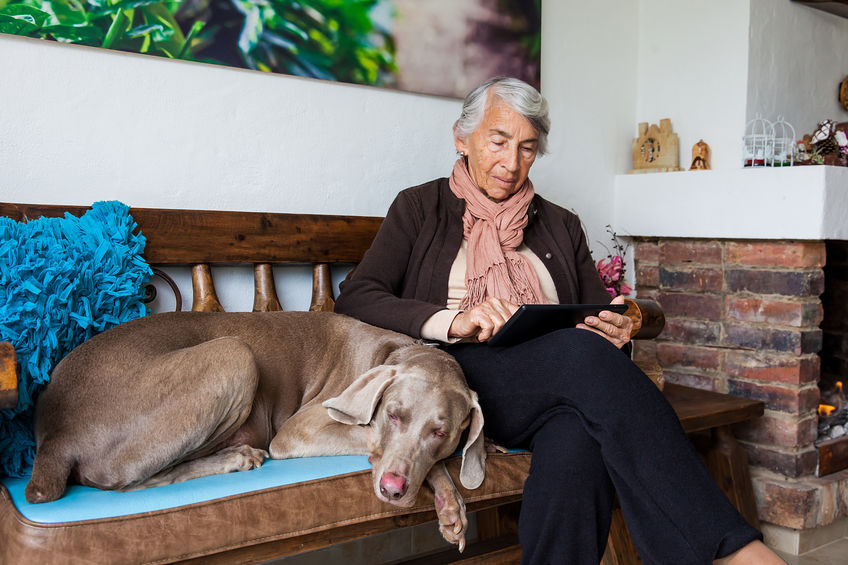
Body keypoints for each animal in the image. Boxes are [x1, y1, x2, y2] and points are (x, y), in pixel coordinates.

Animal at [24, 310, 484, 548]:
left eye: (439, 433)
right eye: (393, 414)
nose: (393, 489)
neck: (397, 352)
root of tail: (53, 435)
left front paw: (449, 505)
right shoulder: (299, 429)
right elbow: (373, 442)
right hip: (233, 353)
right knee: (127, 479)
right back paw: (235, 457)